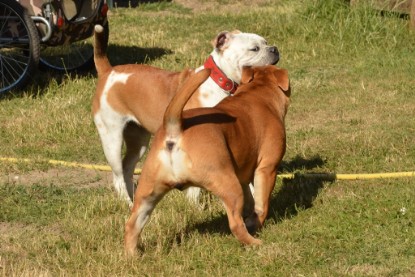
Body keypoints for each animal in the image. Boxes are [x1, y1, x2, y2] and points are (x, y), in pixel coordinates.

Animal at [91, 24, 280, 205]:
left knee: (127, 169)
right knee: (118, 176)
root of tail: (108, 71)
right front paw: (194, 206)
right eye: (254, 49)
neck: (220, 81)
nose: (274, 49)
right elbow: (196, 187)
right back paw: (128, 203)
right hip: (112, 139)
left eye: (265, 42)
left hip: (138, 141)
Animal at [125, 64, 290, 254]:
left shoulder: (243, 174)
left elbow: (251, 198)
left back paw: (132, 255)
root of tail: (175, 129)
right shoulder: (267, 169)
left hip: (148, 192)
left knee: (132, 224)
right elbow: (261, 203)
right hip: (228, 184)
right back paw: (254, 243)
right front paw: (255, 222)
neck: (258, 92)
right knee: (235, 224)